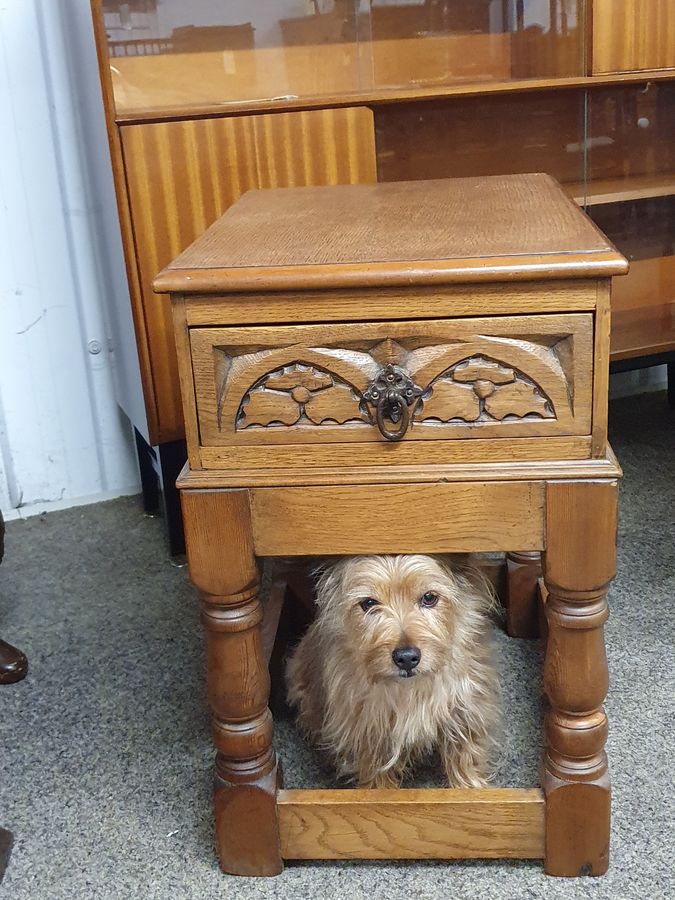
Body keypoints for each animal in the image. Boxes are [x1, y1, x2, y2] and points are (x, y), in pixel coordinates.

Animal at [286, 556, 502, 788]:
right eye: (368, 603)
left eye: (429, 597)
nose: (406, 658)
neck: (410, 689)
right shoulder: (370, 734)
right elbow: (377, 778)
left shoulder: (465, 712)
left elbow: (465, 759)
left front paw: (472, 789)